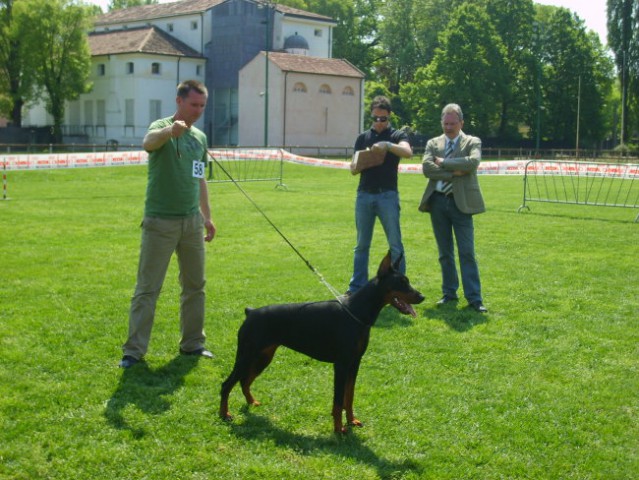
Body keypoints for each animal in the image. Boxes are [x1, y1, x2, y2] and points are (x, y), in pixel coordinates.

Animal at [220, 253, 424, 434]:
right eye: (401, 283)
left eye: (407, 281)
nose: (422, 297)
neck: (356, 311)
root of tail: (251, 312)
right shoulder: (341, 364)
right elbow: (338, 401)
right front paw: (339, 430)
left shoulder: (355, 362)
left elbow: (349, 396)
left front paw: (352, 421)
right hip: (247, 355)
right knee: (227, 384)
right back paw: (225, 414)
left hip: (263, 357)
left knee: (245, 380)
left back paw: (251, 402)